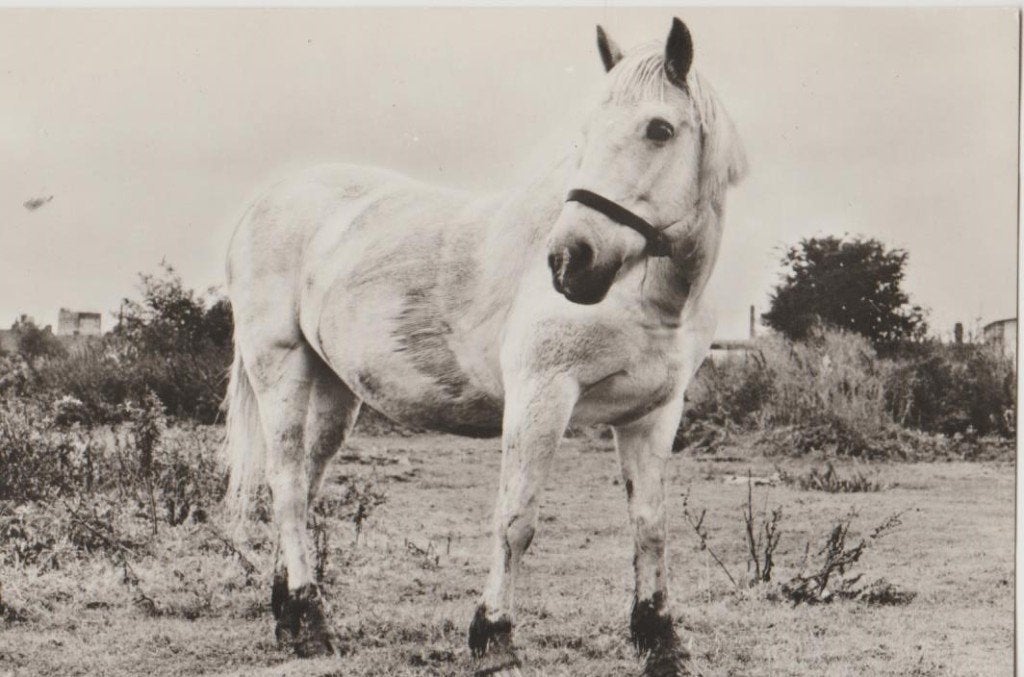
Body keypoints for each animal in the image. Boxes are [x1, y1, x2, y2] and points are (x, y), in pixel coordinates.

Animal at [223, 17, 745, 676]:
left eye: (659, 129)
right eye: (583, 135)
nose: (569, 261)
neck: (644, 297)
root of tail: (264, 202)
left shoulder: (654, 413)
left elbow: (650, 525)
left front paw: (660, 639)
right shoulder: (541, 397)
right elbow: (516, 519)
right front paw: (493, 634)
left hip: (334, 389)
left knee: (306, 482)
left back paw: (288, 613)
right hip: (280, 366)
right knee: (288, 485)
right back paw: (311, 622)